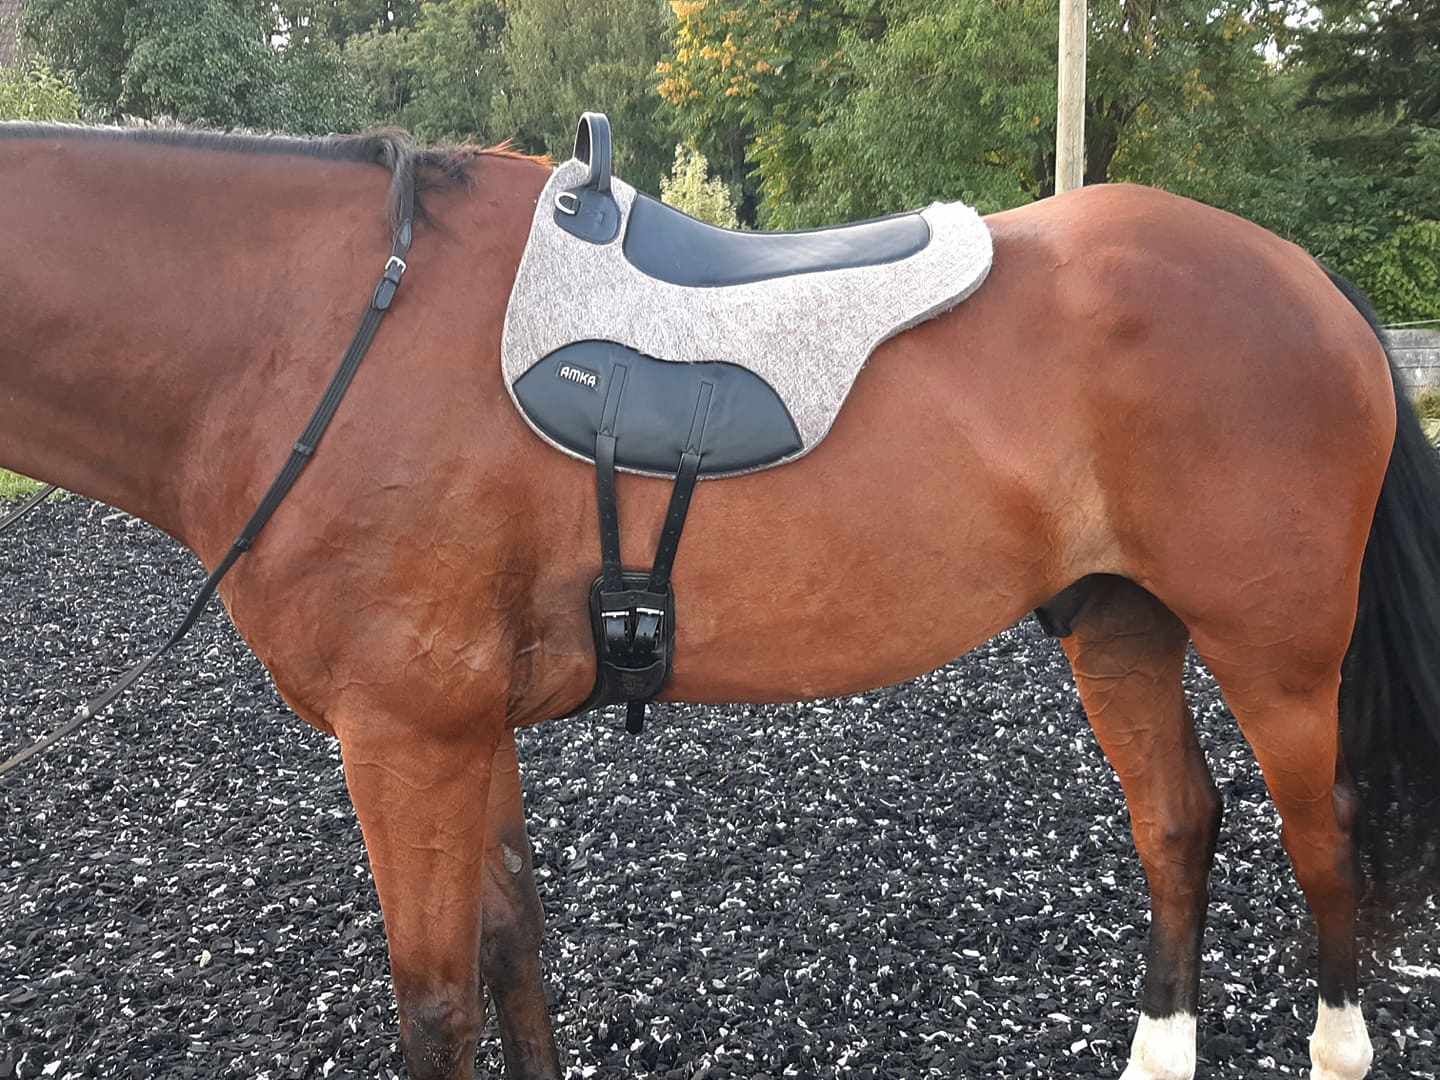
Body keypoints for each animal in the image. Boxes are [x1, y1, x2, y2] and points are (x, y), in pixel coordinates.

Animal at [1, 122, 1437, 1080]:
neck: (309, 333)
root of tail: (1302, 274)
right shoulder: (461, 734)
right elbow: (514, 950)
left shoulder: (404, 738)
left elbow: (440, 1005)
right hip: (1118, 621)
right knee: (1178, 821)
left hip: (1276, 653)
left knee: (1321, 833)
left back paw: (1339, 1043)